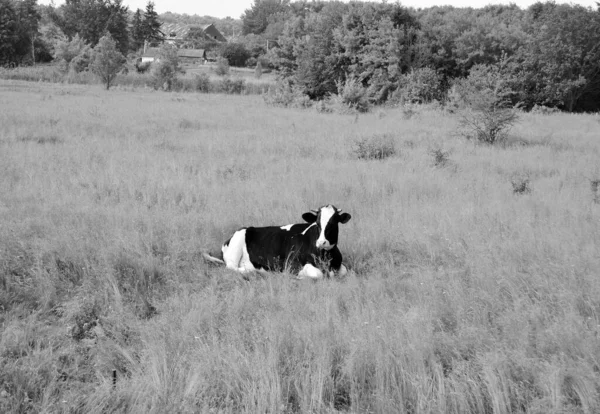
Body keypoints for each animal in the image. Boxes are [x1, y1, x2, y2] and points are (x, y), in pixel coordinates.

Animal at [203, 205, 352, 280]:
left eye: (333, 222)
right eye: (317, 222)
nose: (322, 242)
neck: (325, 257)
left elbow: (345, 271)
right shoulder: (292, 264)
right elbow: (318, 274)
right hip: (236, 247)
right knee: (232, 268)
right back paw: (253, 271)